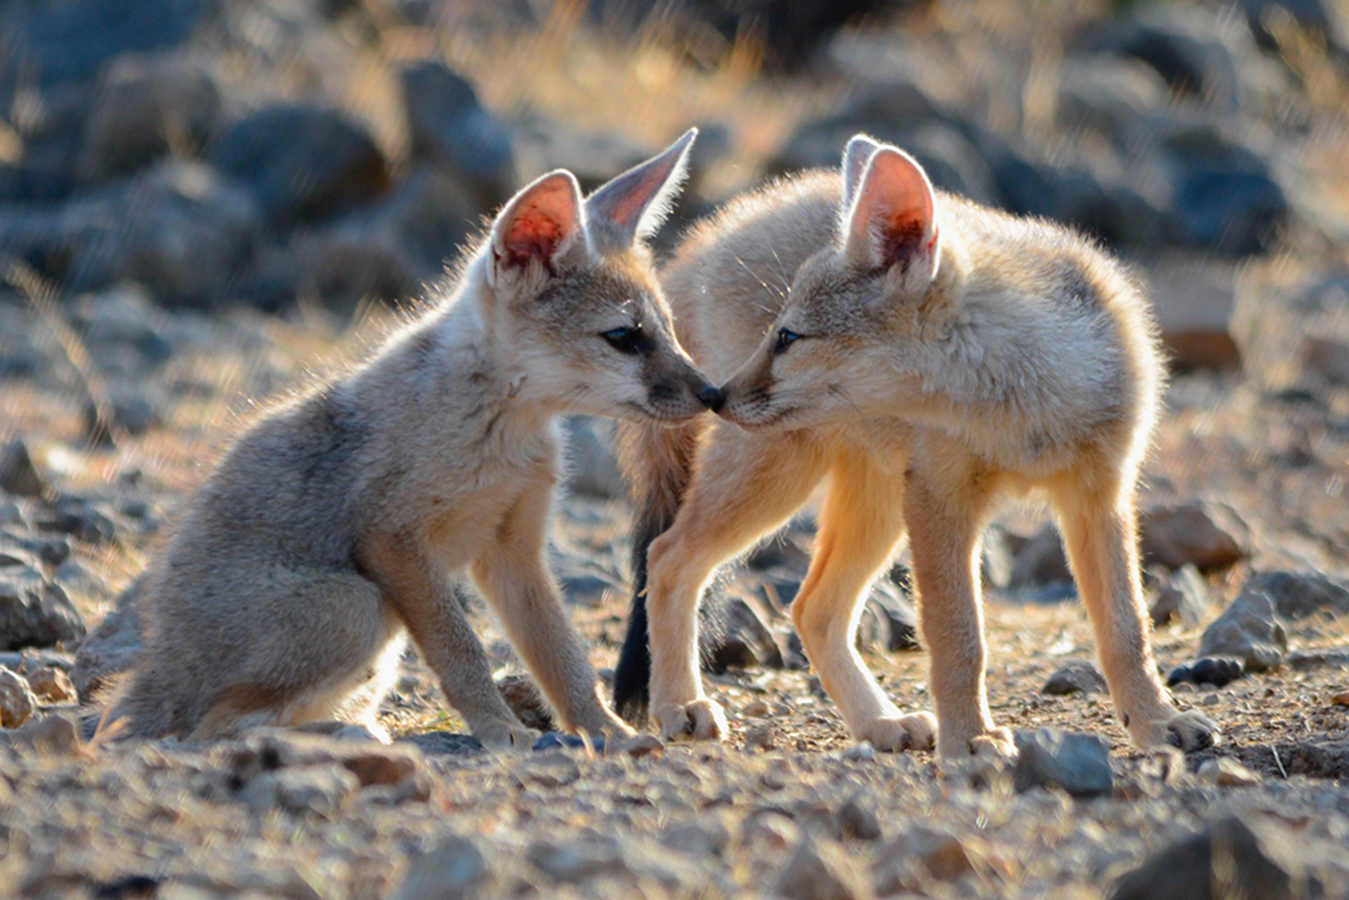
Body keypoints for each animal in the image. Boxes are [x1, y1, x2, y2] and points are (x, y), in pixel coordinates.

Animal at [109, 126, 723, 744]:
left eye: (669, 329)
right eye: (624, 337)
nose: (711, 394)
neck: (502, 432)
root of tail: (153, 668)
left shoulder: (514, 553)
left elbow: (562, 656)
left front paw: (607, 732)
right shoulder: (394, 542)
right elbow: (462, 650)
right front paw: (499, 729)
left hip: (375, 648)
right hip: (360, 606)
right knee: (214, 728)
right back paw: (342, 735)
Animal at [617, 135, 1219, 761]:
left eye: (788, 338)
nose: (716, 396)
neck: (1025, 407)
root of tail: (714, 230)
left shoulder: (1101, 495)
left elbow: (1128, 629)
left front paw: (1155, 721)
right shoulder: (939, 500)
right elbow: (960, 637)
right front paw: (971, 738)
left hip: (875, 503)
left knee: (812, 609)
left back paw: (879, 722)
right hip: (781, 480)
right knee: (667, 559)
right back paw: (680, 704)